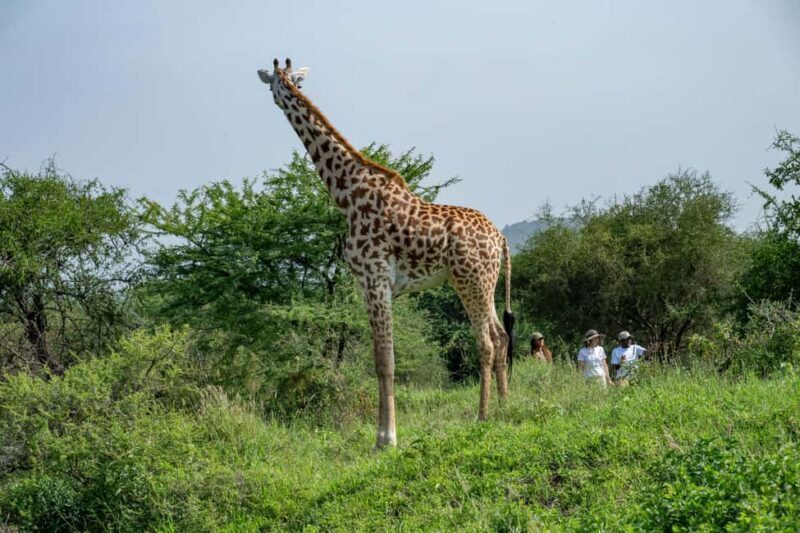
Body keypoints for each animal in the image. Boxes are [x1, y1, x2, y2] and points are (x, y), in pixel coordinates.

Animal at [257, 58, 515, 448]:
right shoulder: (368, 283)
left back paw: (482, 416)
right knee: (500, 337)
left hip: (470, 279)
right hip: (485, 283)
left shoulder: (375, 276)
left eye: (277, 84)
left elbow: (385, 360)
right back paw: (504, 408)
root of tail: (500, 238)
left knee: (485, 343)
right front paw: (384, 434)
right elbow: (381, 358)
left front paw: (386, 439)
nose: (279, 95)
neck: (346, 193)